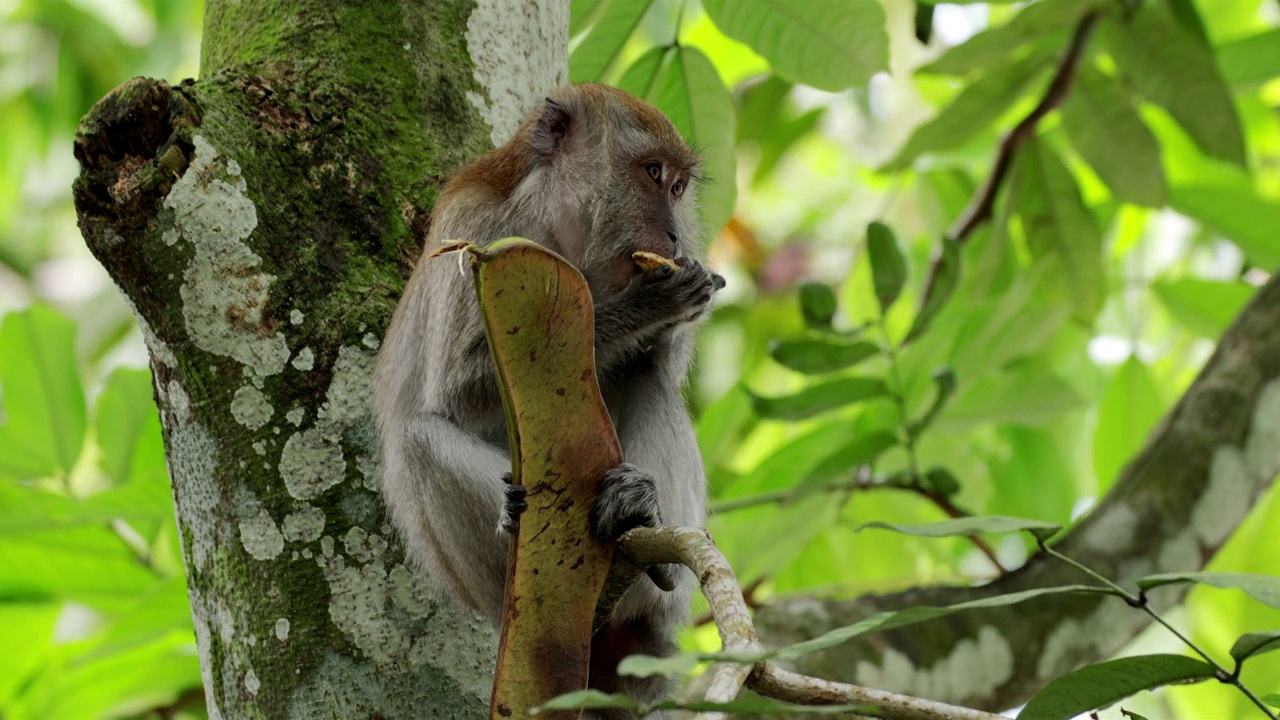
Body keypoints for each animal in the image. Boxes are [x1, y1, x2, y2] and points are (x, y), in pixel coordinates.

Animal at [373, 81, 727, 707]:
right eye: (653, 173)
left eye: (679, 188)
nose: (675, 234)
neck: (560, 235)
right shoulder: (480, 233)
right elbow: (458, 390)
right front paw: (648, 304)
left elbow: (655, 366)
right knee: (418, 439)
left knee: (646, 381)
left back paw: (639, 527)